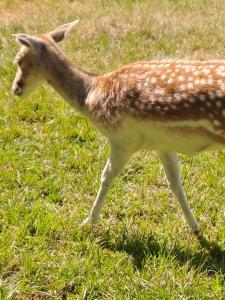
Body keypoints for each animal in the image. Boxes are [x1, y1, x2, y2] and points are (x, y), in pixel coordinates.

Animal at [11, 19, 225, 239]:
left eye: (18, 60)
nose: (15, 88)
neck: (90, 95)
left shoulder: (122, 139)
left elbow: (106, 177)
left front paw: (88, 222)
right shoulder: (163, 144)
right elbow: (175, 183)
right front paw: (195, 228)